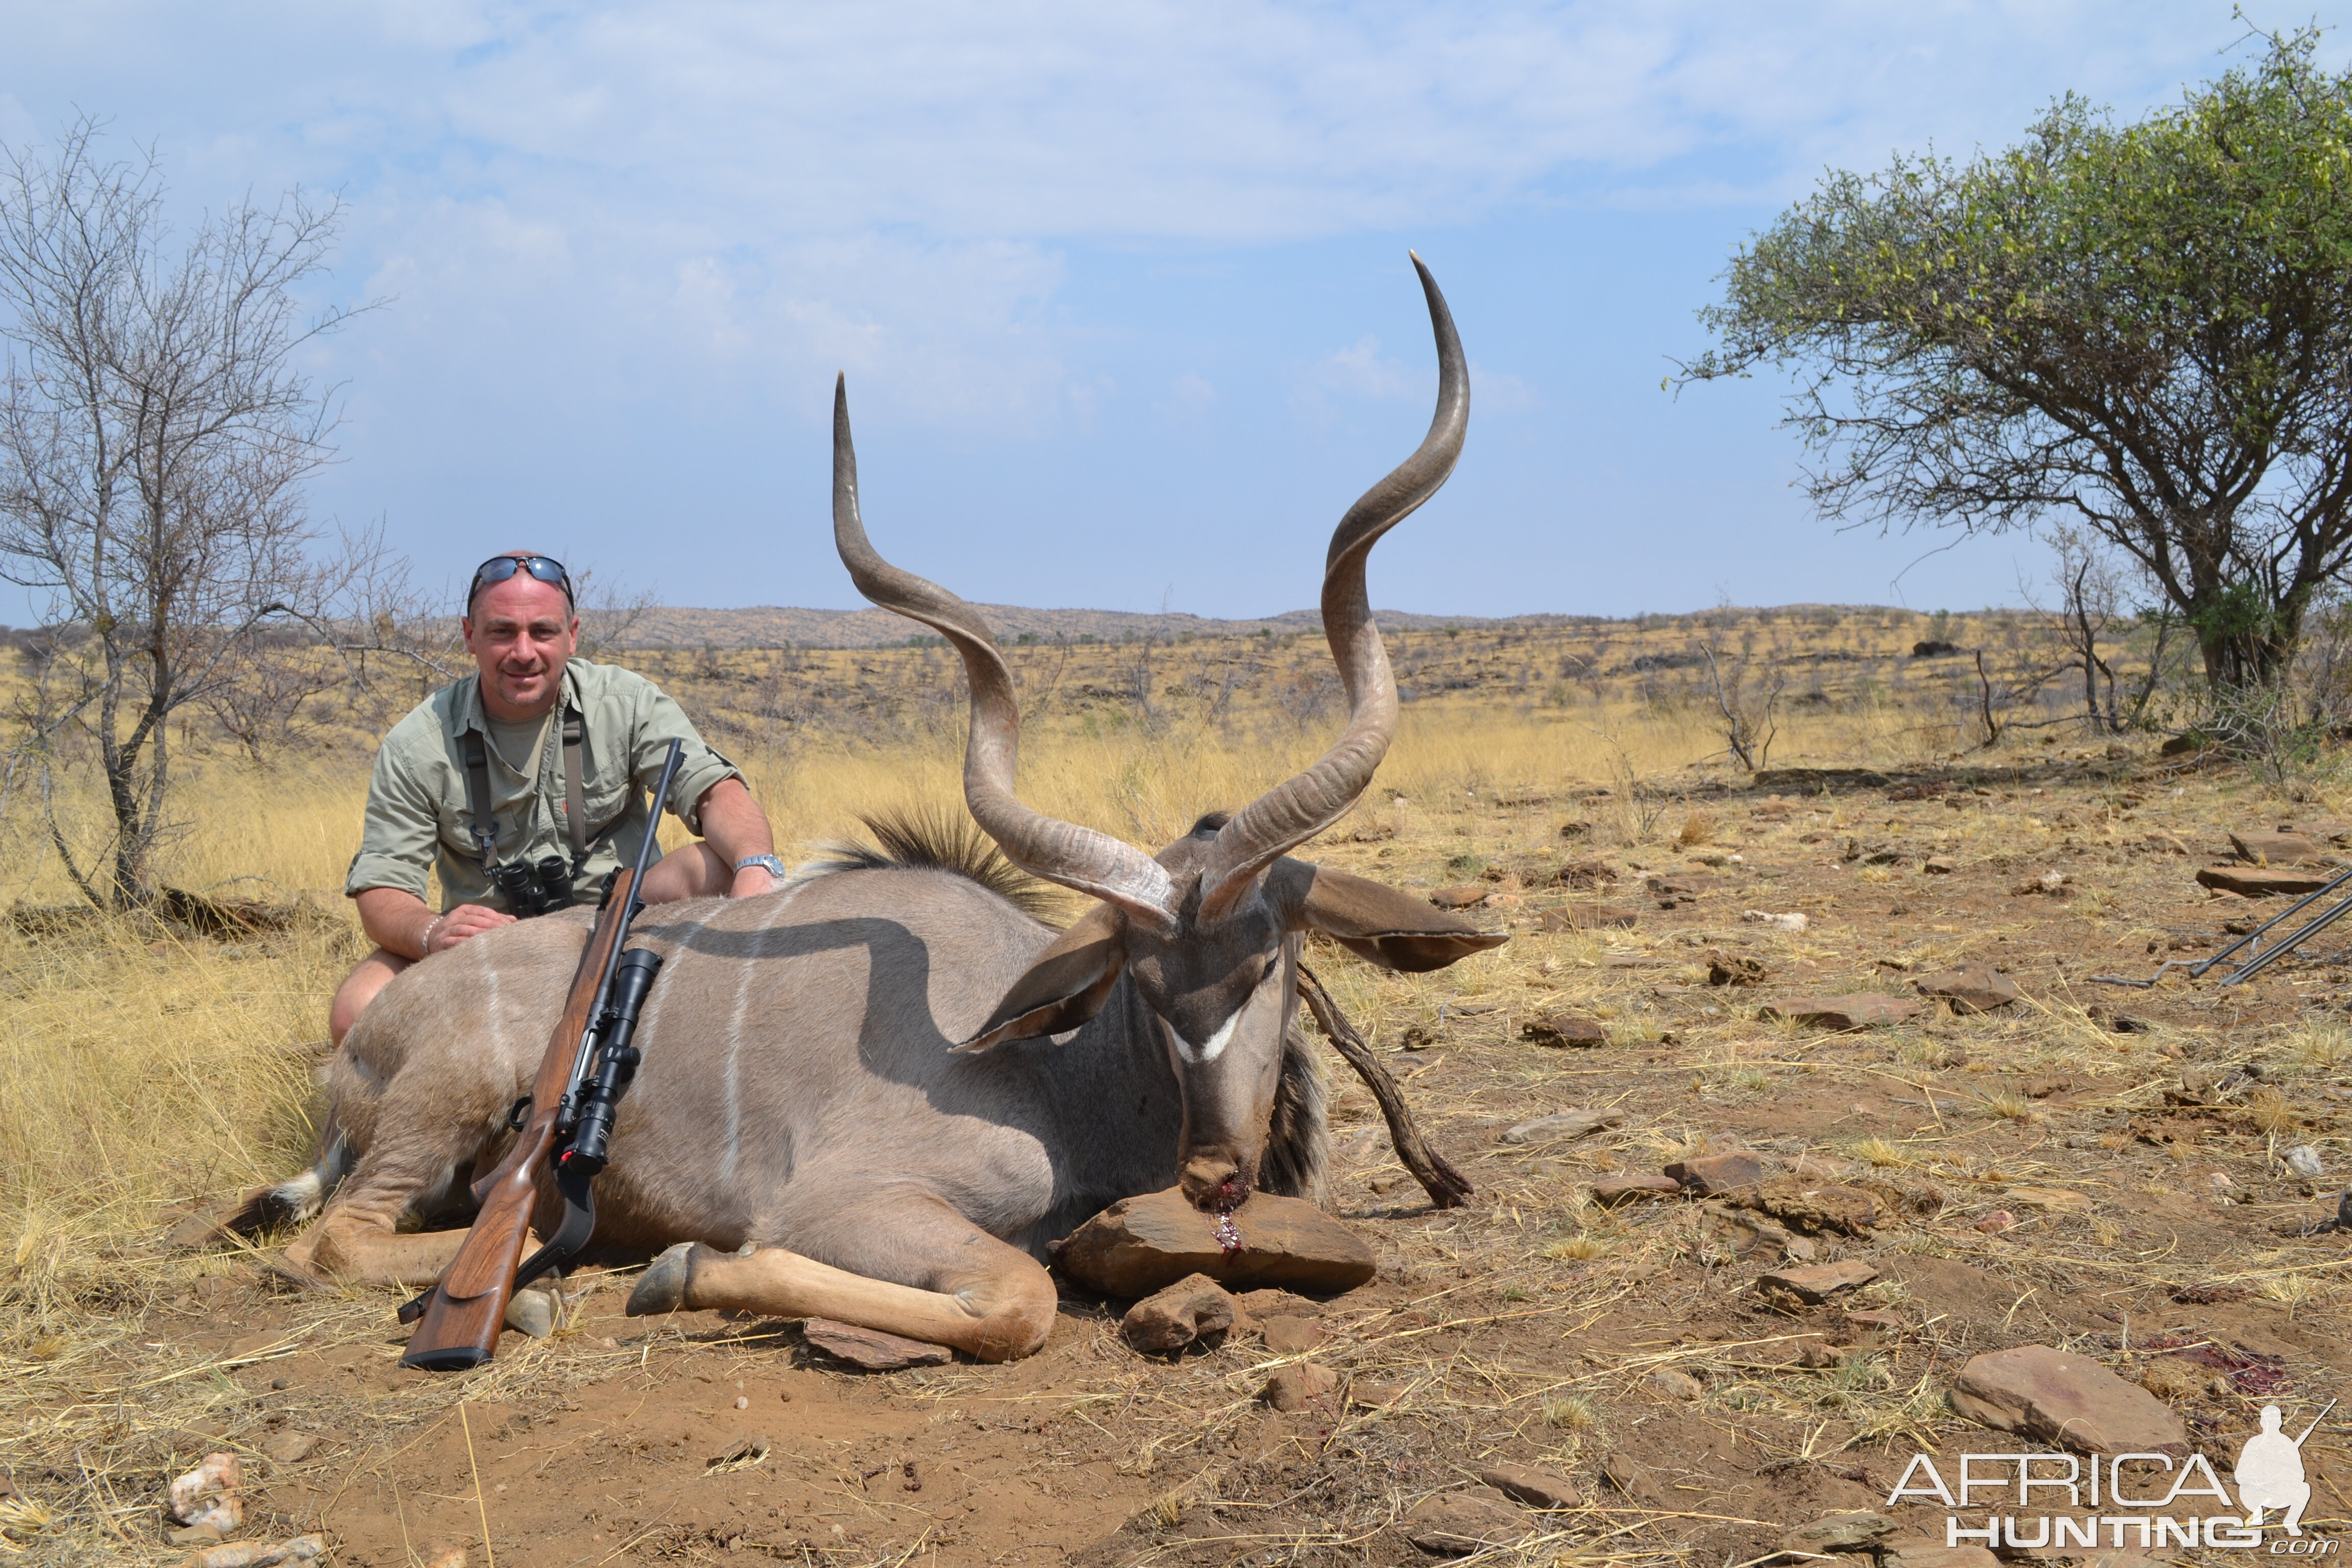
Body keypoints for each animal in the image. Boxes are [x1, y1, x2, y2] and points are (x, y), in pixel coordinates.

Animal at [248, 261, 1496, 1363]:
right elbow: (1018, 1296)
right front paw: (682, 1269)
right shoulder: (851, 1200)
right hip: (440, 1112)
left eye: (1269, 960)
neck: (1060, 1071)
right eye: (1140, 979)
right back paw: (541, 1287)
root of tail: (363, 1044)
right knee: (331, 1244)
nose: (1213, 1175)